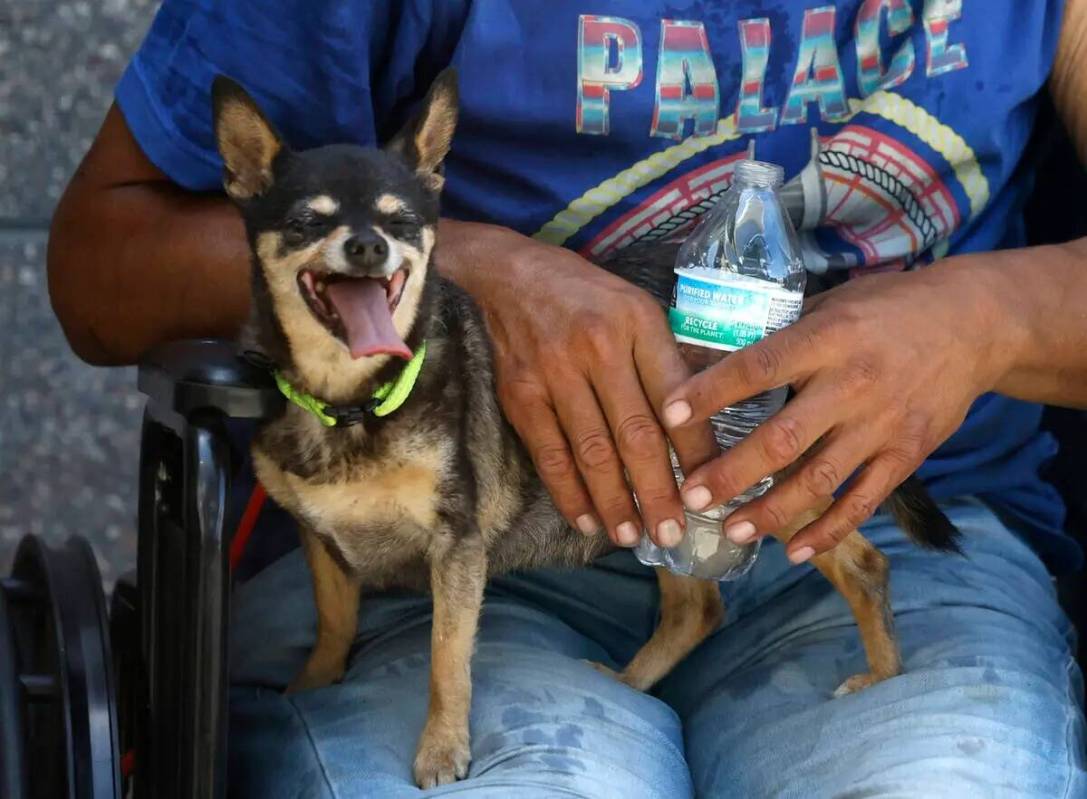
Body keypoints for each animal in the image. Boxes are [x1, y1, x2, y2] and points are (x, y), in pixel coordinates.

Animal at [211, 70, 960, 795]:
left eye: (402, 224)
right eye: (306, 222)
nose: (367, 245)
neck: (353, 405)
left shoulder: (457, 547)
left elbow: (446, 659)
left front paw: (442, 747)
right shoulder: (319, 537)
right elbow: (333, 624)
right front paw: (308, 687)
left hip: (755, 475)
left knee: (862, 566)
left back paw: (881, 678)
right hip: (659, 497)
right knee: (697, 605)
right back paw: (631, 684)